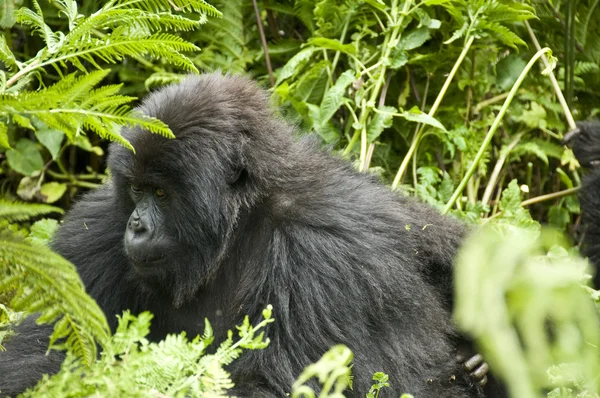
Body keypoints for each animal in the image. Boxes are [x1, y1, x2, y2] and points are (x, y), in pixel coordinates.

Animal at [2, 73, 494, 396]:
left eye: (161, 193)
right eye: (137, 190)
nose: (136, 225)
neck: (237, 226)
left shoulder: (321, 249)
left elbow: (279, 384)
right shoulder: (99, 226)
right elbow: (38, 353)